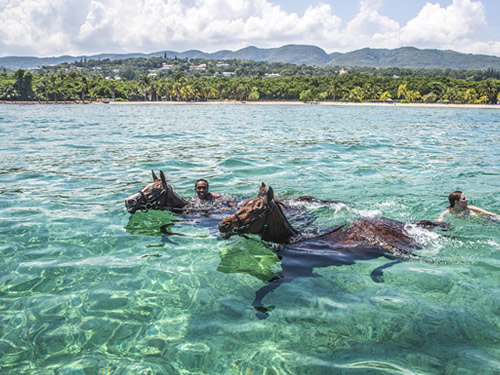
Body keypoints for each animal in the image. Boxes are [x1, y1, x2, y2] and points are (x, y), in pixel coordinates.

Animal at [217, 184, 448, 318]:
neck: (294, 240)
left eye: (256, 209)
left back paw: (377, 273)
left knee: (406, 259)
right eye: (243, 204)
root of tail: (409, 225)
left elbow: (261, 290)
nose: (223, 225)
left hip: (391, 249)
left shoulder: (295, 273)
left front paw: (260, 310)